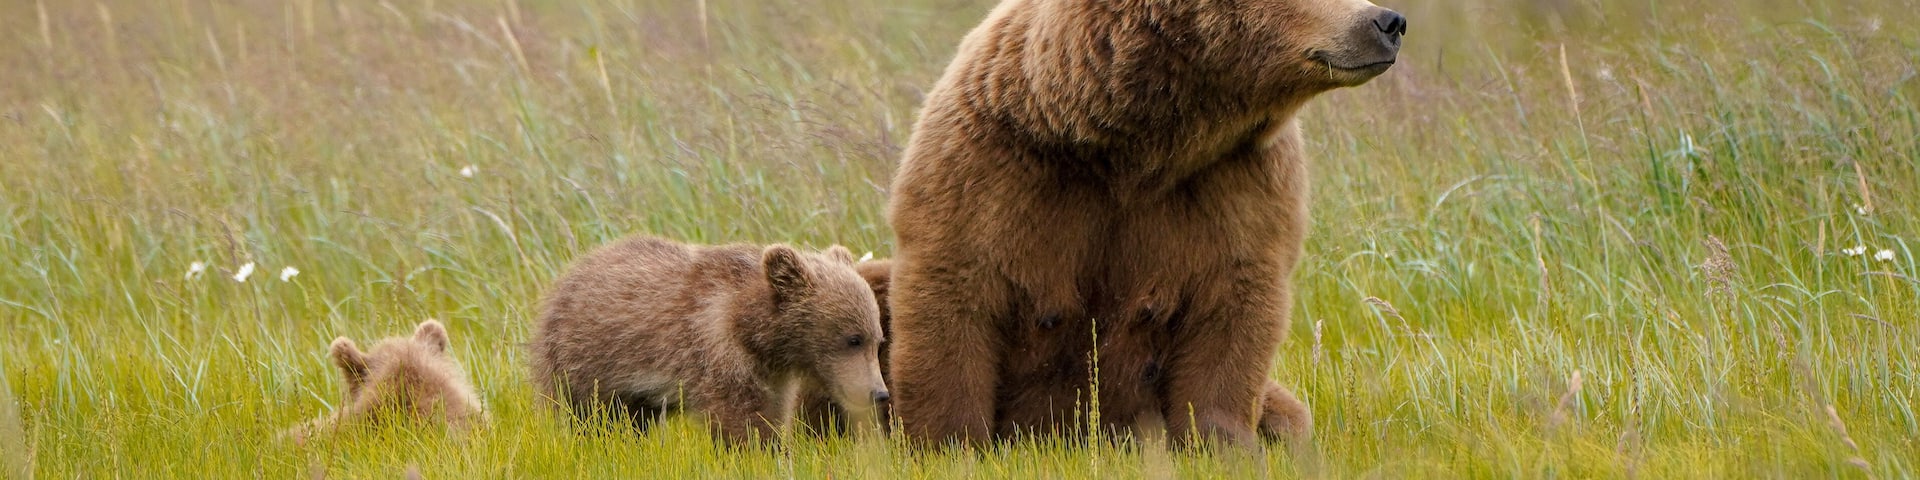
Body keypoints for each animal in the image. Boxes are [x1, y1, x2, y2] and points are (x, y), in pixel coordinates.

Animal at [528, 236, 889, 445]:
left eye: (877, 339)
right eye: (853, 339)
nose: (879, 393)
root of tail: (571, 272)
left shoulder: (773, 374)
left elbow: (773, 412)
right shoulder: (715, 352)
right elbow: (742, 419)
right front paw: (757, 452)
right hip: (584, 357)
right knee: (588, 416)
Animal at [884, 0, 1403, 447]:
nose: (1388, 22)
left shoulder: (1240, 183)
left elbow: (1234, 308)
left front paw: (1221, 441)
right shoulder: (996, 160)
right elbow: (956, 289)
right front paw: (948, 441)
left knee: (1289, 415)